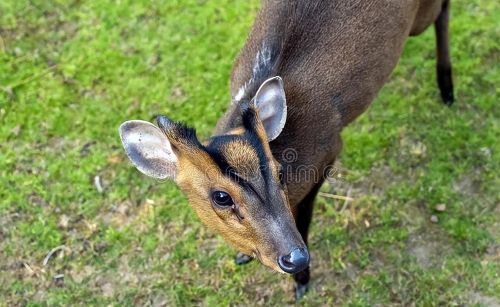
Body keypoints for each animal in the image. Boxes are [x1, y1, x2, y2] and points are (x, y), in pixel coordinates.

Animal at [120, 0, 454, 300]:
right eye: (221, 197)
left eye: (280, 173)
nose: (296, 258)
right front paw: (245, 257)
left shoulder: (328, 151)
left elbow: (303, 218)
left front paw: (302, 282)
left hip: (419, 20)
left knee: (443, 10)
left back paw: (447, 88)